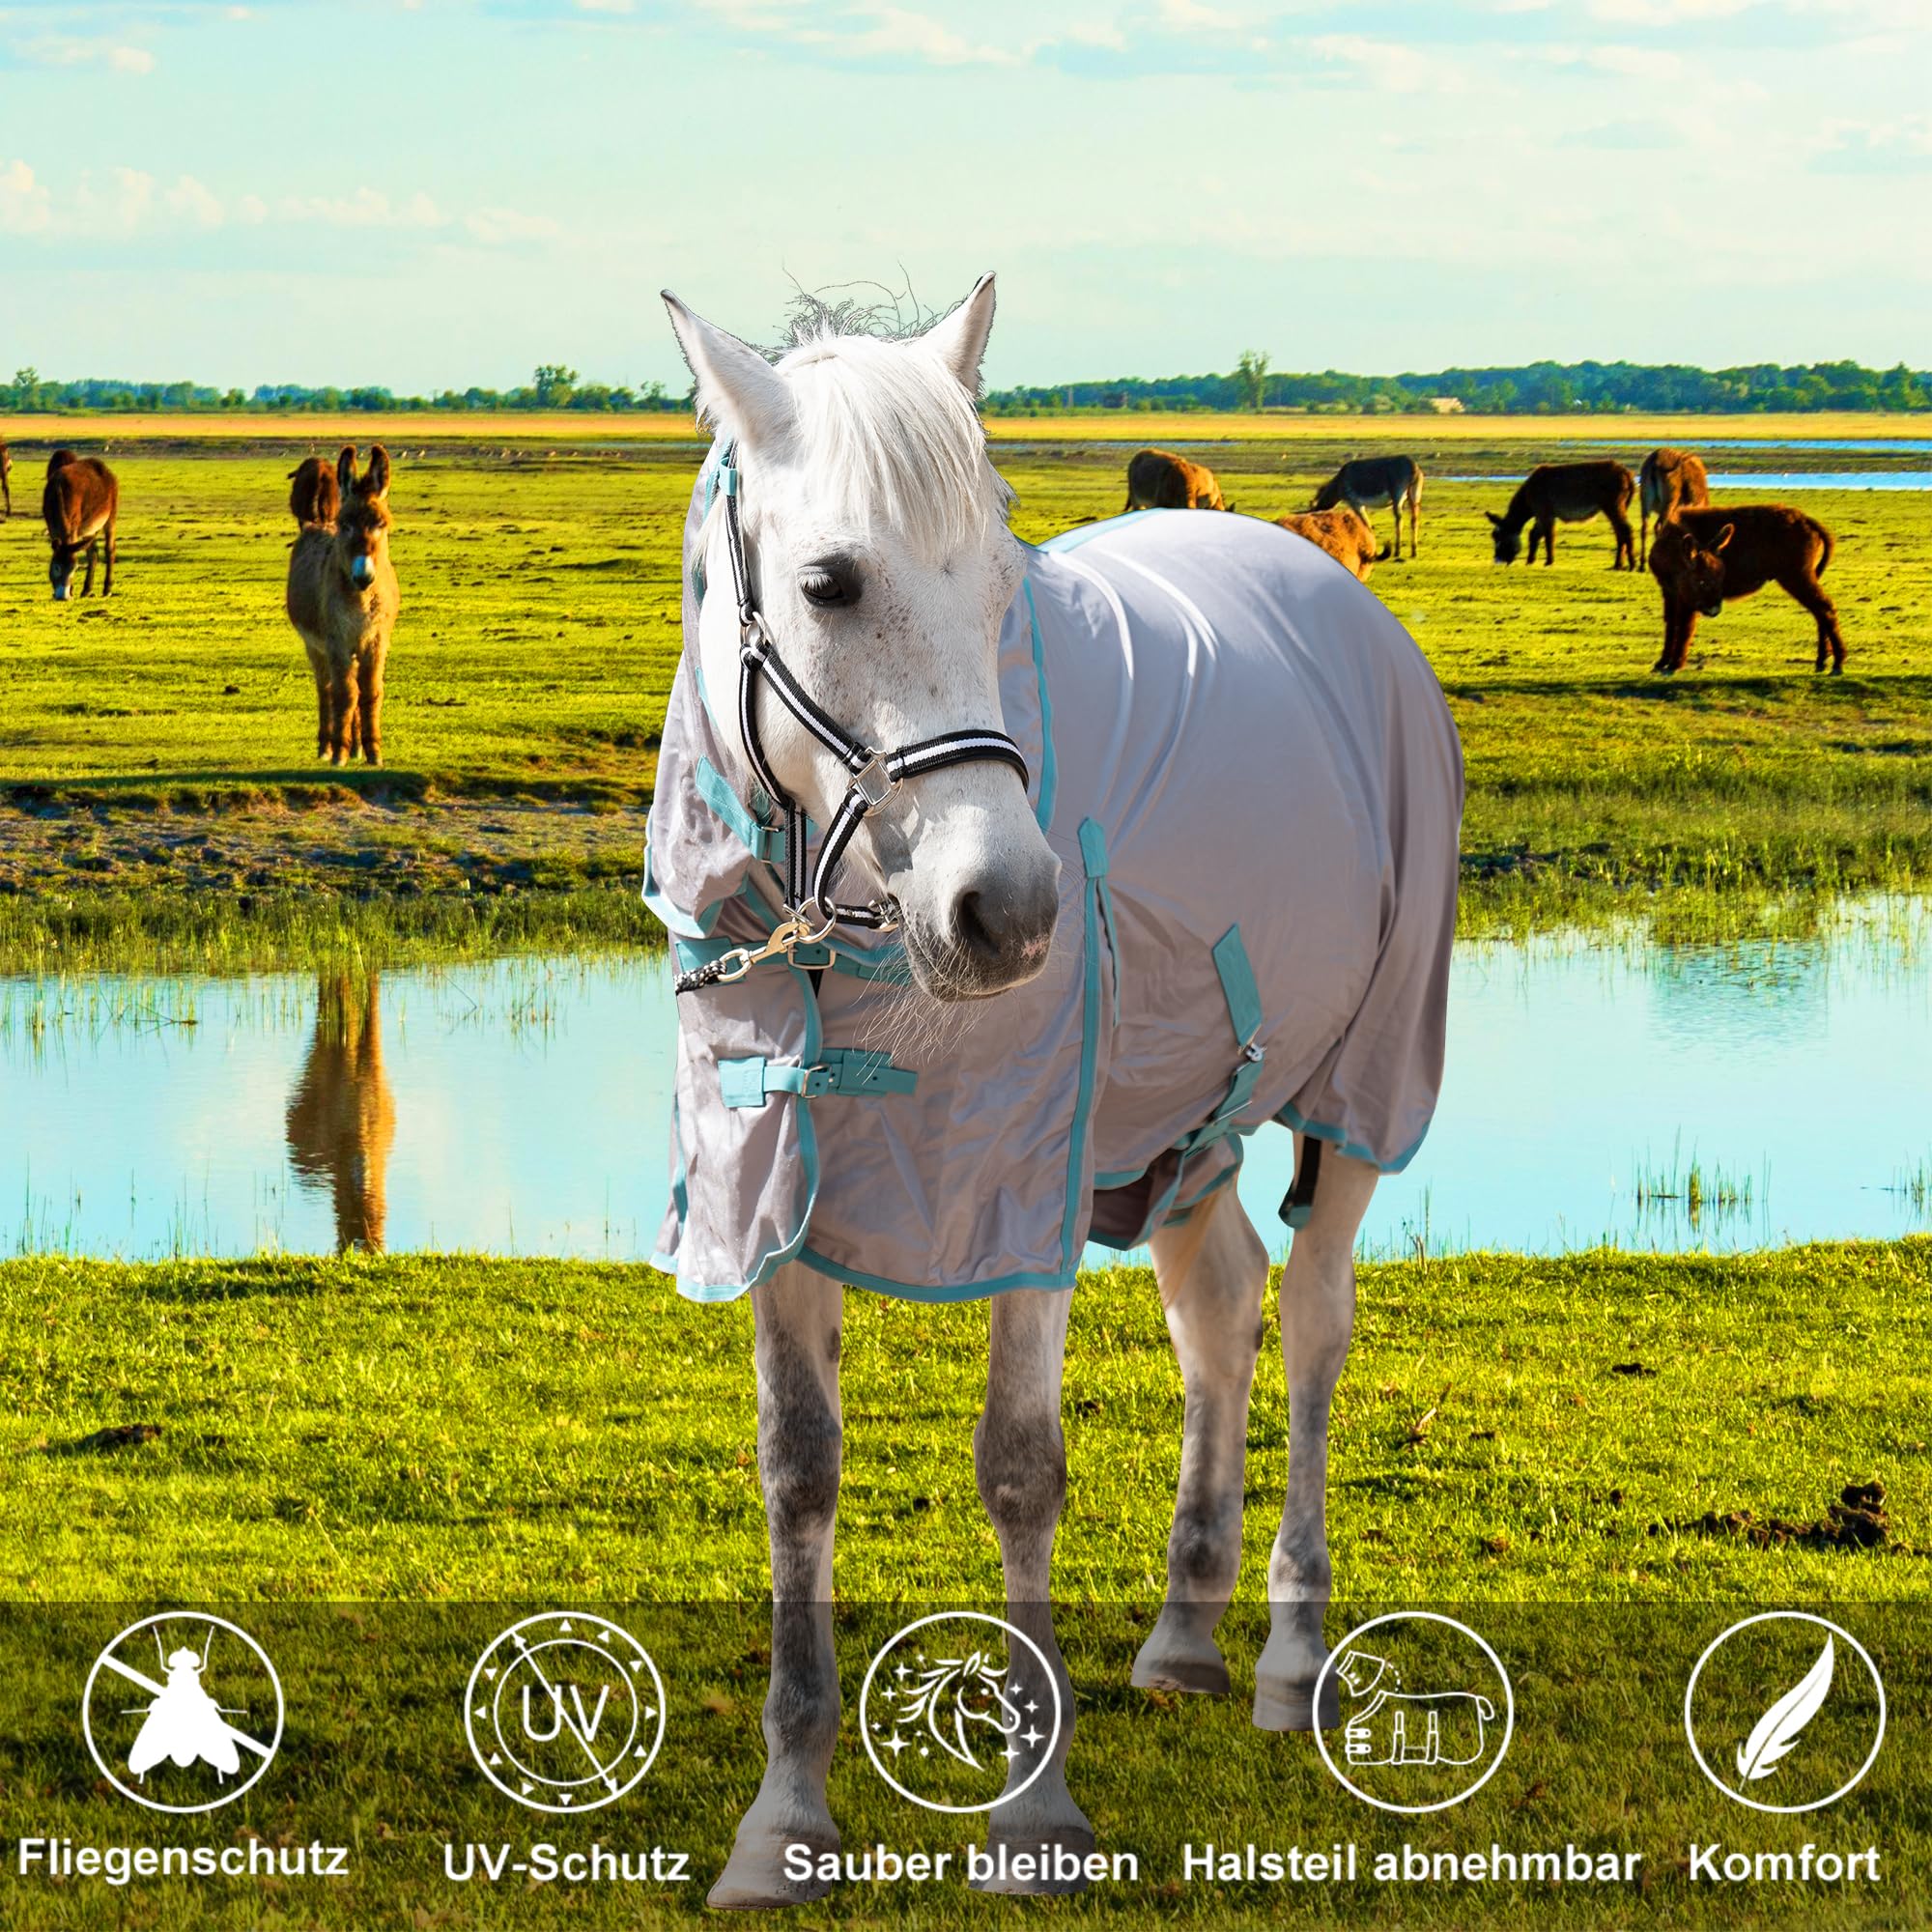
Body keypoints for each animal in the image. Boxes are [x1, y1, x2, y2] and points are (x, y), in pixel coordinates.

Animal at [43, 450, 119, 599]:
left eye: (74, 569)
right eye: (56, 567)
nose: (63, 596)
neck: (59, 491)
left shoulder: (74, 528)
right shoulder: (52, 527)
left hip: (110, 518)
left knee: (109, 549)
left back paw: (107, 589)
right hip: (90, 530)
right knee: (93, 553)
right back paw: (86, 589)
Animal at [285, 445, 399, 765]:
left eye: (381, 524)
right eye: (345, 524)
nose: (364, 576)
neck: (361, 600)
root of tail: (316, 525)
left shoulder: (376, 640)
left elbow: (370, 692)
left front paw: (373, 751)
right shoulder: (335, 641)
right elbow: (344, 694)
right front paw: (340, 753)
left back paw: (357, 745)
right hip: (316, 646)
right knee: (326, 688)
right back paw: (327, 746)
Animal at [652, 276, 1461, 1908]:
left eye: (999, 584)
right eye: (829, 583)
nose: (1009, 913)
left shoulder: (1021, 1184)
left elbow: (1021, 1471)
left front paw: (1034, 1819)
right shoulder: (772, 1190)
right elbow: (797, 1475)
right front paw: (786, 1820)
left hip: (1354, 1093)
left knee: (1313, 1325)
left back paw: (1288, 1652)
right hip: (1175, 1125)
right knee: (1221, 1305)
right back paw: (1185, 1630)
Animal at [1486, 460, 1636, 568]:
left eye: (1499, 537)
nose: (1497, 560)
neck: (1528, 493)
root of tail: (1626, 472)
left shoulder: (1545, 513)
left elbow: (1548, 536)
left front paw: (1549, 562)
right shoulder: (1542, 515)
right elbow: (1534, 535)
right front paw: (1530, 561)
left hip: (1612, 506)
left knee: (1625, 530)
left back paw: (1631, 564)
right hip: (1617, 508)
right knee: (1620, 532)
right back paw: (1619, 564)